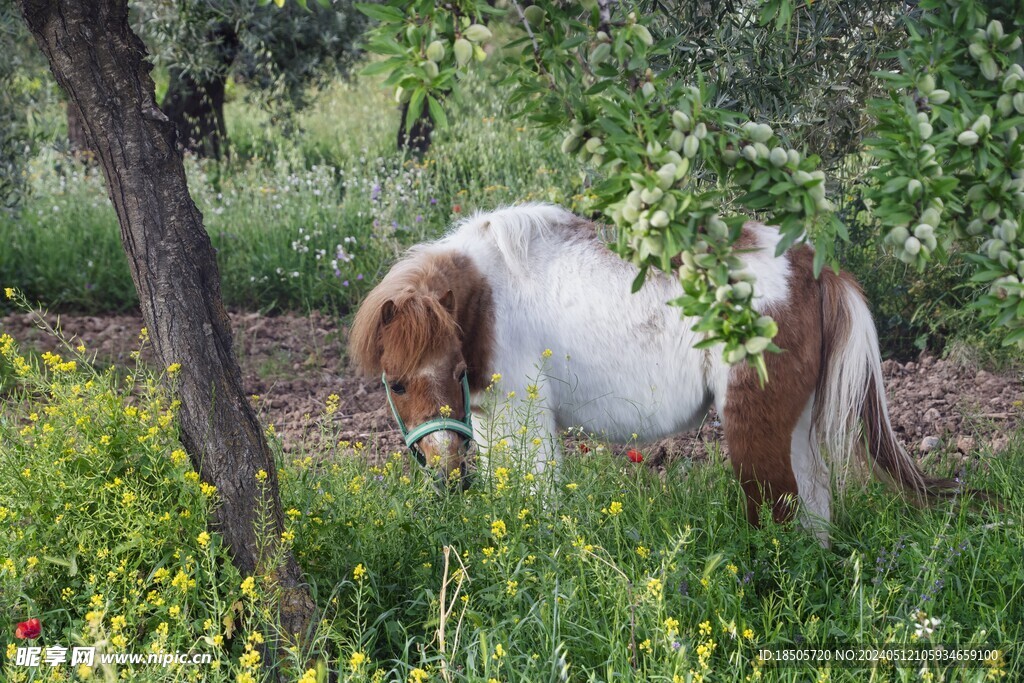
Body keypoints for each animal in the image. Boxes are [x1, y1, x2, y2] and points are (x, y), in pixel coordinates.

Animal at [352, 202, 958, 540]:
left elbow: (535, 503)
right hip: (796, 427)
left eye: (455, 369)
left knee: (779, 510)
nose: (446, 473)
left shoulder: (525, 422)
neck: (486, 298)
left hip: (754, 428)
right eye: (396, 383)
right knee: (814, 509)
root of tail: (812, 267)